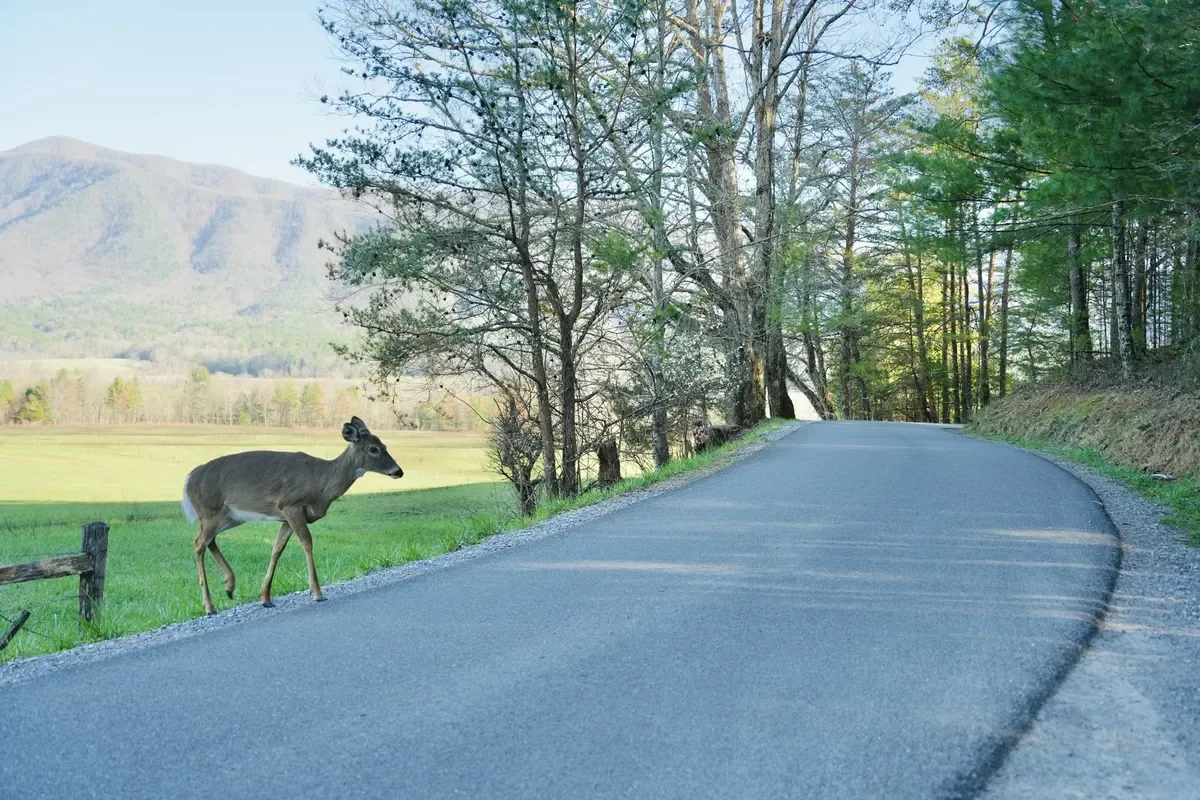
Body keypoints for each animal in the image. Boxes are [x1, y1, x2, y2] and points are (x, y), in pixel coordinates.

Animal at [181, 416, 402, 615]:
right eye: (373, 449)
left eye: (384, 445)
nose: (398, 471)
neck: (321, 482)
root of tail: (188, 479)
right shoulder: (290, 505)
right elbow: (307, 542)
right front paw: (317, 593)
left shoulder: (285, 518)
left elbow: (277, 549)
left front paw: (265, 598)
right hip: (212, 512)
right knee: (198, 543)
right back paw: (210, 606)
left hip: (228, 517)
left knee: (207, 540)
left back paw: (229, 586)